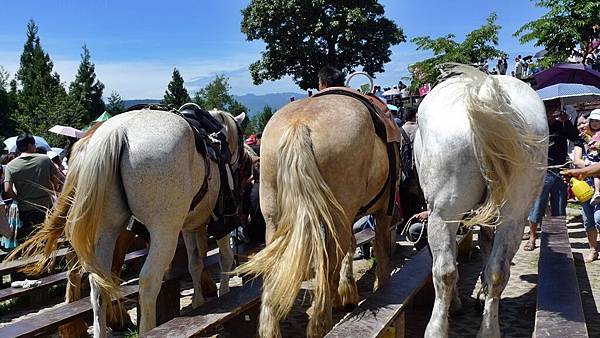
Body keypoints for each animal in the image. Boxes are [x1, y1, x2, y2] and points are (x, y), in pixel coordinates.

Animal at [61, 108, 246, 336]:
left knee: (98, 286)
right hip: (165, 232)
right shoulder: (220, 223)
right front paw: (224, 293)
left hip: (106, 231)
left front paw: (198, 301)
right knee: (148, 282)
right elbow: (225, 258)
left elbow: (195, 263)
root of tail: (116, 132)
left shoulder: (189, 227)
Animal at [237, 95, 400, 338]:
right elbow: (379, 249)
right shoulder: (381, 213)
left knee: (275, 265)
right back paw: (320, 322)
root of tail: (299, 124)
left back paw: (270, 326)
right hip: (338, 217)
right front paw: (379, 288)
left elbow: (353, 245)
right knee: (330, 263)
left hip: (274, 220)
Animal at [418, 64, 548, 336]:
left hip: (443, 214)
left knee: (445, 271)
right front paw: (481, 294)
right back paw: (489, 327)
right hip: (515, 212)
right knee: (499, 270)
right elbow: (488, 246)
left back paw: (437, 328)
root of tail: (483, 92)